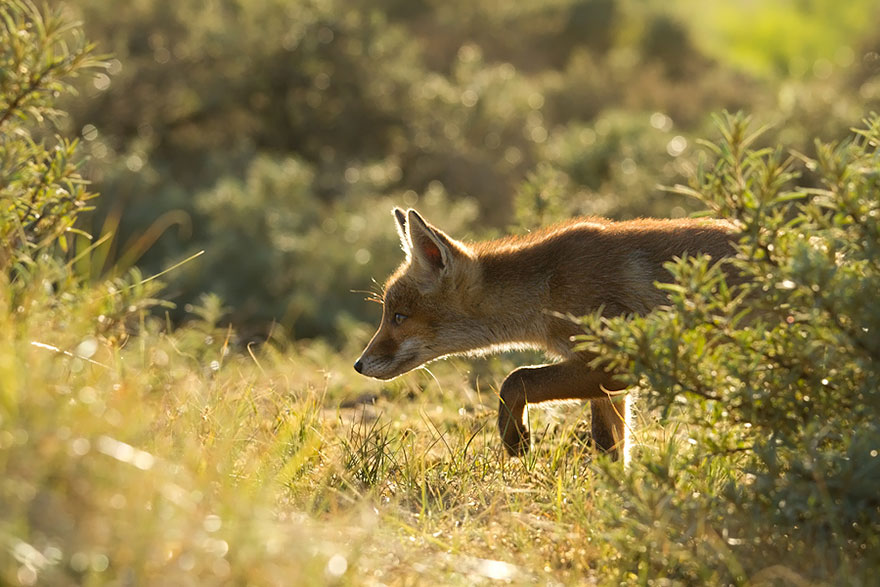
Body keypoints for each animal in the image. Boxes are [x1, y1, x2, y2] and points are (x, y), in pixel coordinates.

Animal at [354, 208, 738, 460]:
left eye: (399, 317)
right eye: (389, 315)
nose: (359, 365)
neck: (548, 289)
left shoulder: (615, 365)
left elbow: (515, 379)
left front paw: (516, 438)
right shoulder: (607, 383)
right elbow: (609, 447)